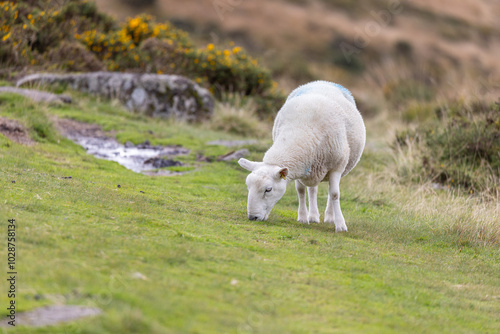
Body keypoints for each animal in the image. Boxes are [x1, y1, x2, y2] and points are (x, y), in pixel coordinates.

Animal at [236, 81, 366, 232]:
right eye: (248, 185)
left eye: (268, 189)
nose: (253, 217)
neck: (301, 130)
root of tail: (323, 82)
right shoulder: (299, 166)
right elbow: (301, 191)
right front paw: (303, 218)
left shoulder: (336, 167)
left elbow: (334, 194)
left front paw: (340, 225)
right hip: (313, 167)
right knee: (313, 190)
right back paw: (313, 216)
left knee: (330, 192)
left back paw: (329, 217)